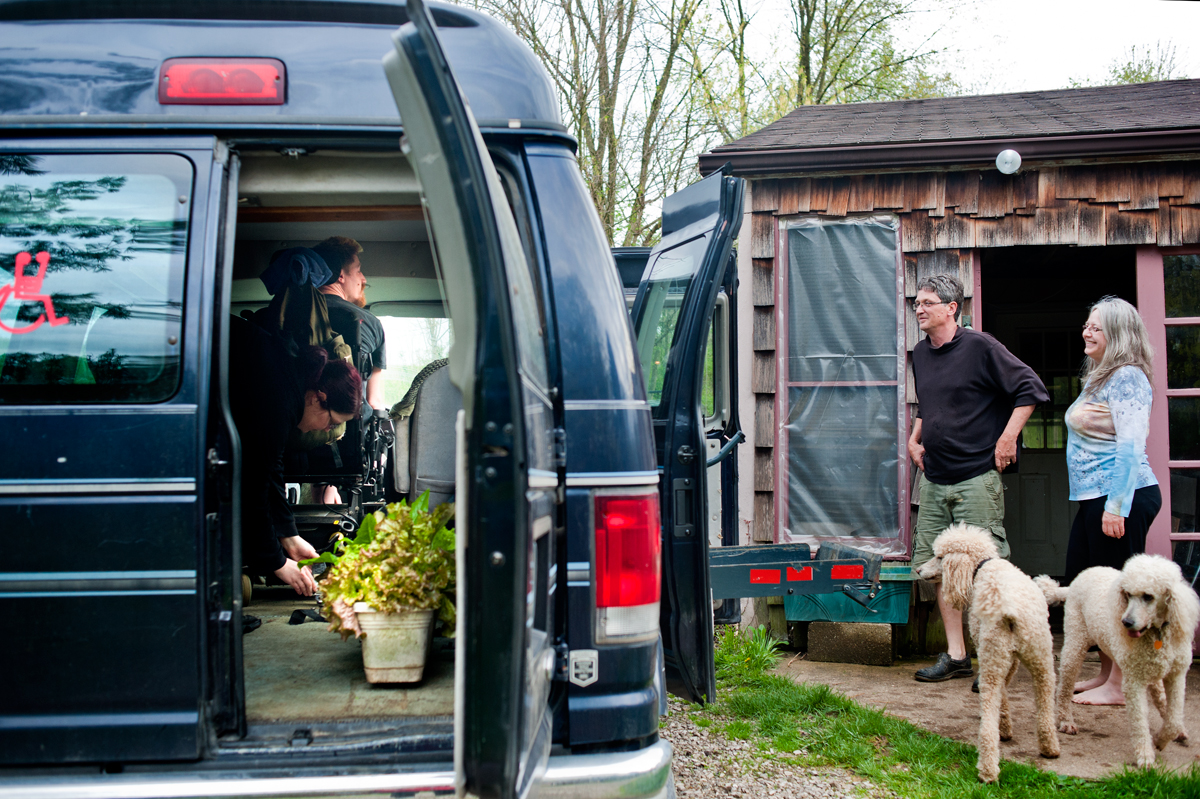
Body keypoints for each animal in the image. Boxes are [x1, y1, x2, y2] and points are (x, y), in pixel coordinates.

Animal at [916, 523, 1060, 777]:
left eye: (940, 557)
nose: (918, 569)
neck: (983, 566)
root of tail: (1013, 610)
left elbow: (999, 695)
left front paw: (1002, 726)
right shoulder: (1011, 660)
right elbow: (1006, 689)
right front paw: (1006, 724)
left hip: (994, 654)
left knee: (989, 709)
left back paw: (988, 769)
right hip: (1041, 658)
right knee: (1044, 705)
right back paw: (1049, 747)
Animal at [1036, 554, 1195, 767]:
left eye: (1148, 596)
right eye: (1128, 595)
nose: (1125, 622)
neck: (1156, 633)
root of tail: (1080, 577)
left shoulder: (1176, 675)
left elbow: (1174, 717)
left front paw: (1163, 738)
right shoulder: (1134, 682)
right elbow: (1139, 722)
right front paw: (1146, 756)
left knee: (1159, 694)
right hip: (1076, 643)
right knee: (1064, 687)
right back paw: (1066, 721)